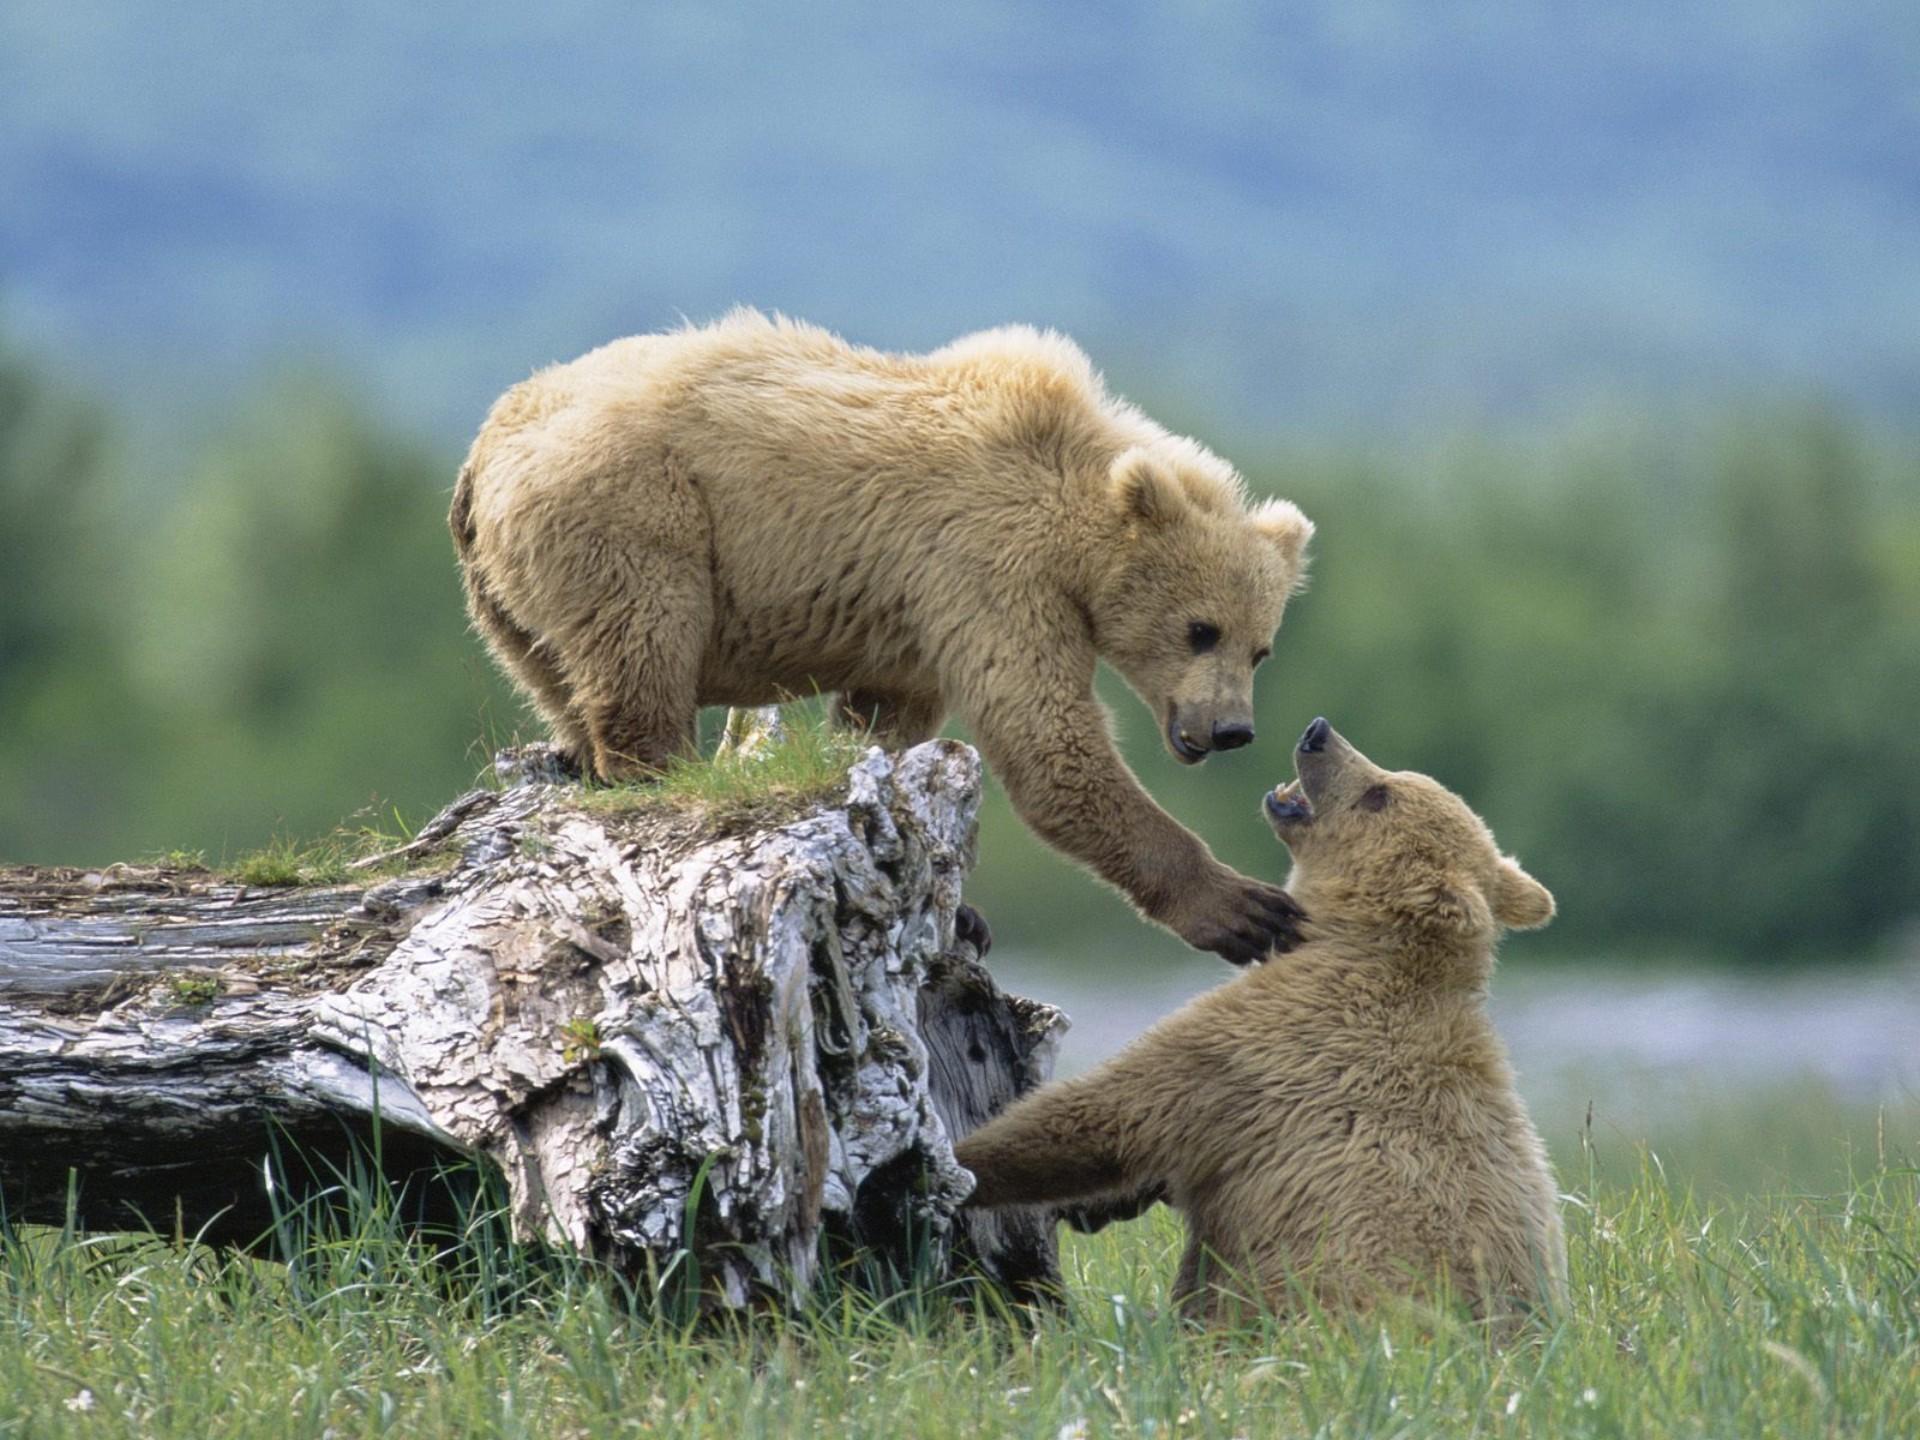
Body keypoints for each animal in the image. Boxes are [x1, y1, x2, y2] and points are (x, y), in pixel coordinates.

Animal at [451, 316, 1320, 971]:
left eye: (1261, 648)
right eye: (1200, 630)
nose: (1231, 729)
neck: (1073, 509)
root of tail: (481, 452)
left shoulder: (916, 617)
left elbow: (886, 723)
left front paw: (959, 909)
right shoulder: (988, 569)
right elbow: (1048, 742)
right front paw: (1248, 909)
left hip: (507, 599)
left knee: (560, 678)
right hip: (631, 512)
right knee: (644, 645)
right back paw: (663, 769)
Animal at [952, 721, 1566, 1328]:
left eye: (1379, 793)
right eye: (1391, 779)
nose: (1319, 733)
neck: (1357, 943)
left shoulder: (1264, 1046)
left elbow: (1106, 1116)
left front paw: (961, 1163)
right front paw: (1098, 1204)